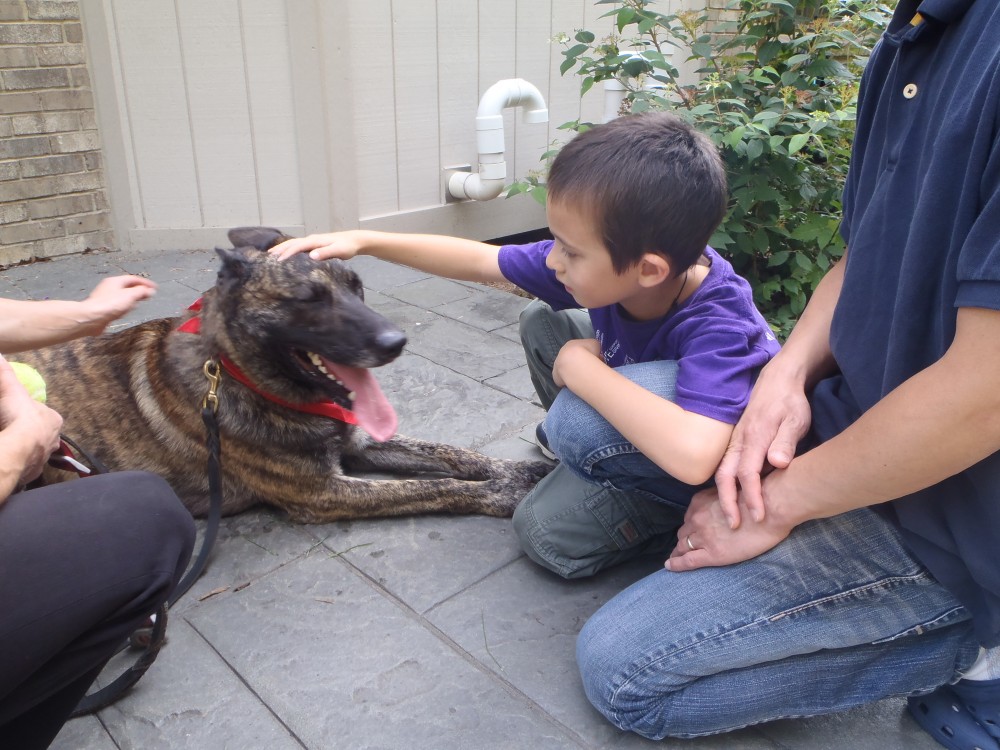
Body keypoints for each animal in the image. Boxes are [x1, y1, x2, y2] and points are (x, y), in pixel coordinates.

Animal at [21, 228, 556, 524]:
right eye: (308, 299)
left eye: (358, 287)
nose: (396, 343)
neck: (240, 376)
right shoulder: (323, 492)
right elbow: (434, 487)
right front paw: (503, 492)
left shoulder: (360, 441)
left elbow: (453, 453)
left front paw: (514, 470)